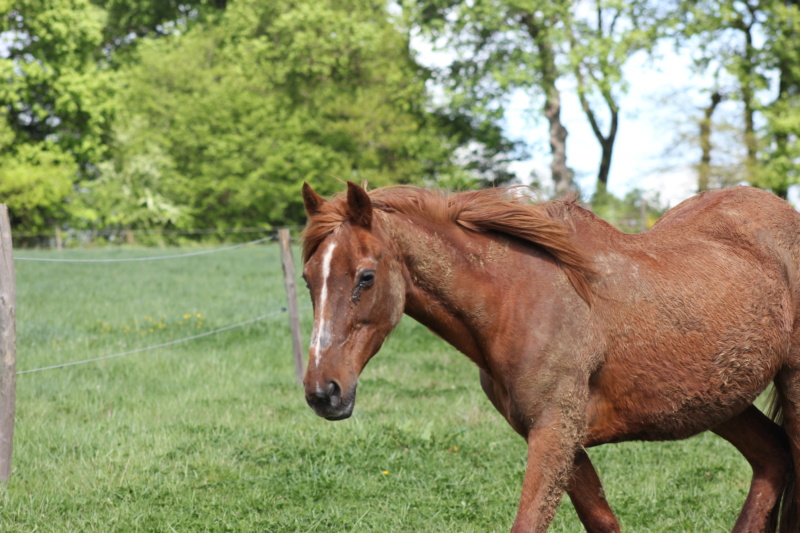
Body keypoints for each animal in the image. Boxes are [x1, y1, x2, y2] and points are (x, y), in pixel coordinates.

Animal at [298, 183, 800, 532]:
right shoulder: (558, 439)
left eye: (365, 277)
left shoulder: (554, 433)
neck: (518, 301)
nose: (324, 392)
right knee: (773, 459)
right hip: (718, 399)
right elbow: (602, 521)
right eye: (308, 278)